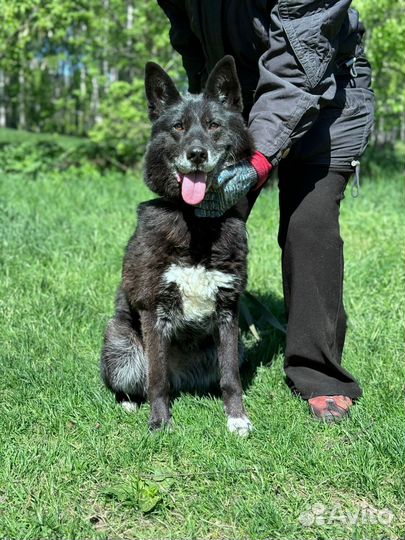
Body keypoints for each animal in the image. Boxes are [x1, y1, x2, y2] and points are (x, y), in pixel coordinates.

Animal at [100, 56, 254, 434]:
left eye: (213, 126)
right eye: (178, 127)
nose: (196, 154)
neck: (195, 222)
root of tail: (183, 380)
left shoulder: (228, 312)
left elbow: (231, 378)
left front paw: (237, 418)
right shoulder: (152, 309)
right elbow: (156, 380)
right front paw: (160, 423)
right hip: (120, 340)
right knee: (139, 381)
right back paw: (130, 403)